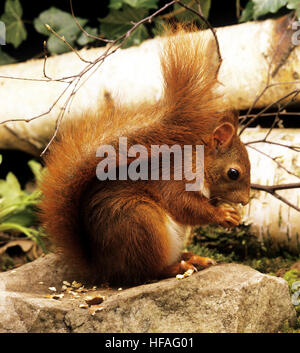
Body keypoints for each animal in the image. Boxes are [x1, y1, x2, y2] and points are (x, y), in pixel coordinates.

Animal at [39, 28, 251, 286]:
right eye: (233, 173)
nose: (246, 200)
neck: (198, 162)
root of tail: (103, 269)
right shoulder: (175, 179)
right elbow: (184, 205)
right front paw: (223, 214)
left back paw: (195, 258)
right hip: (141, 223)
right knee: (146, 272)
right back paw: (176, 267)